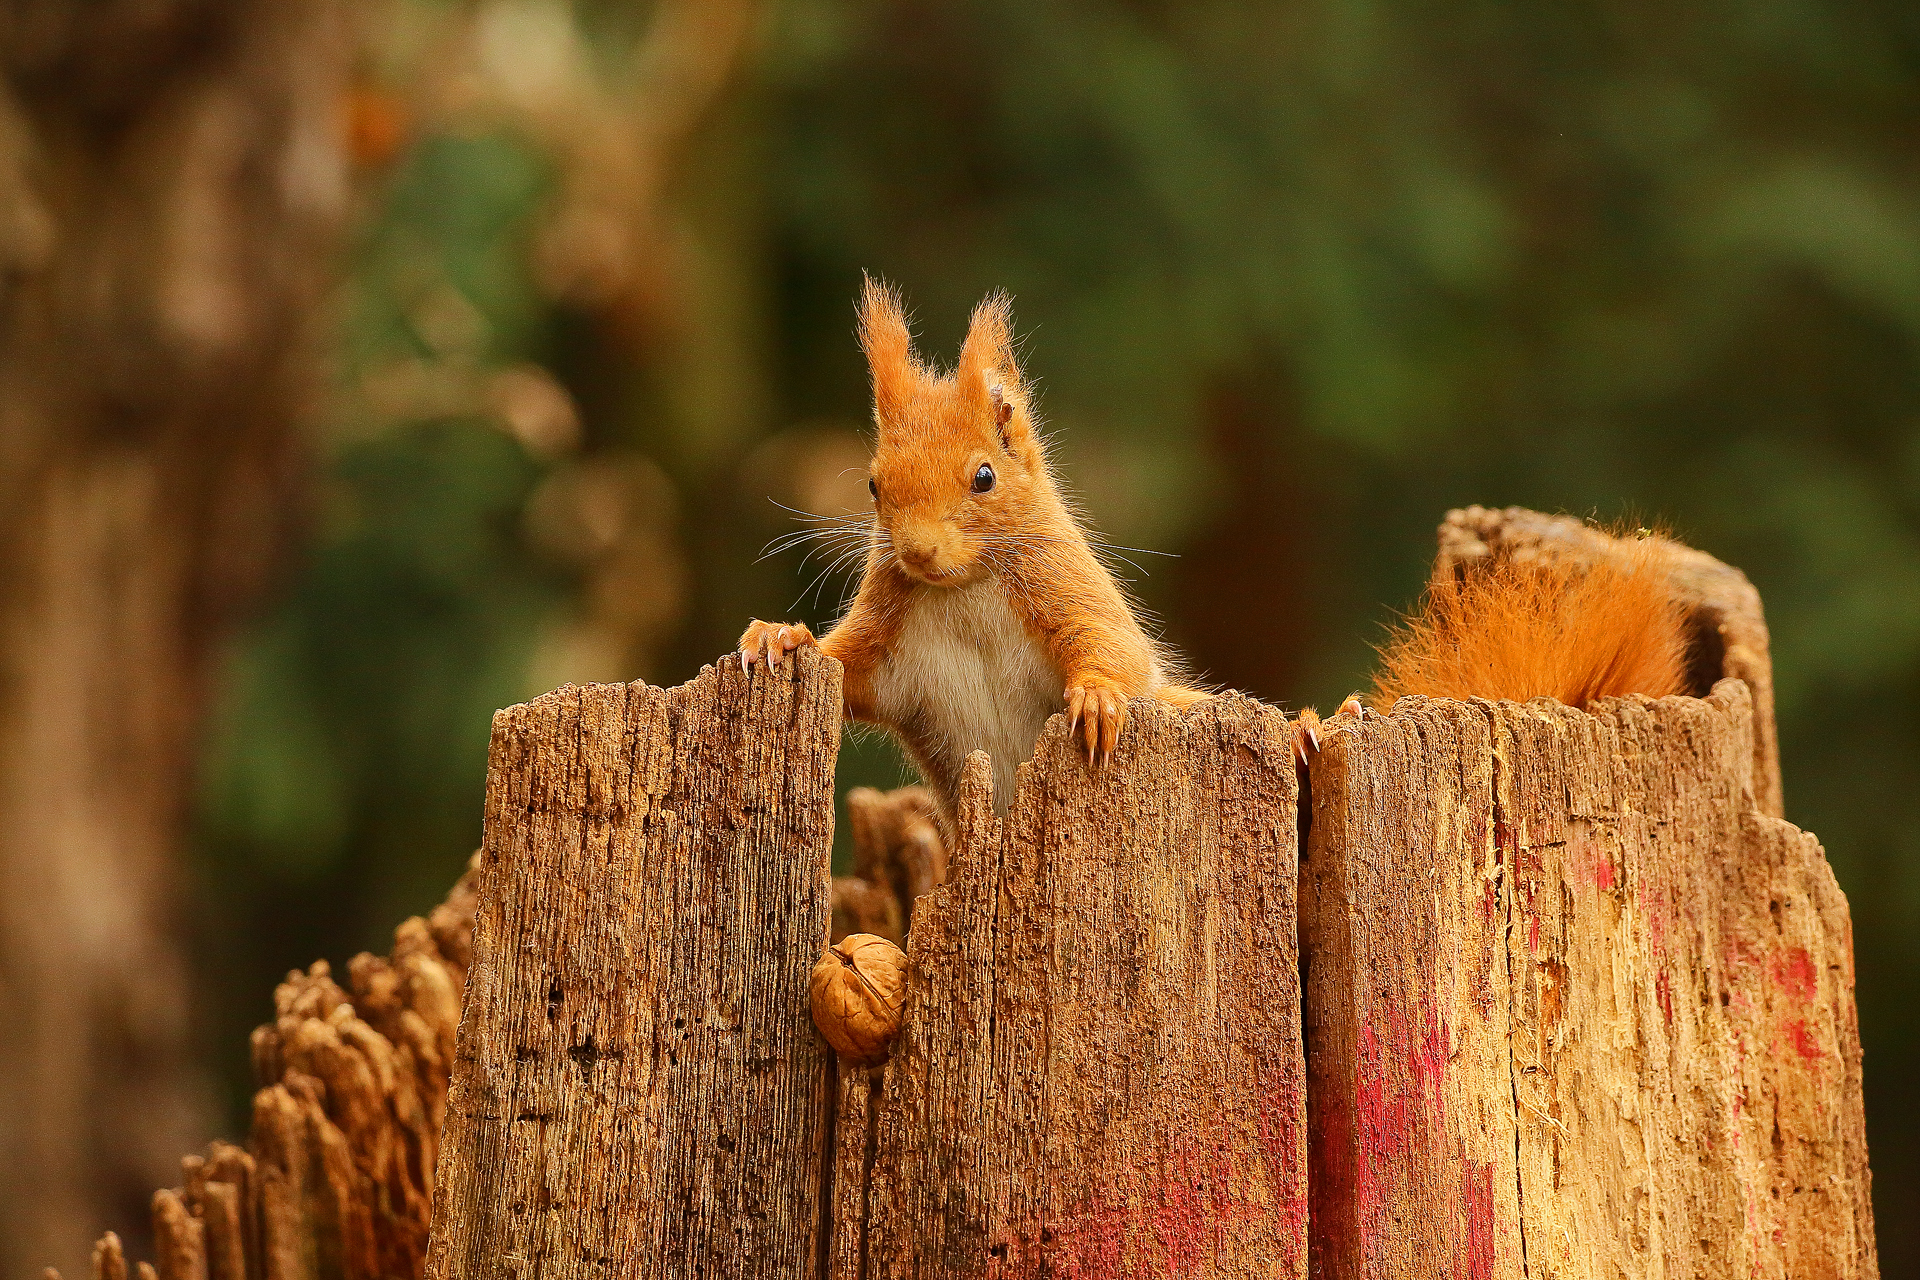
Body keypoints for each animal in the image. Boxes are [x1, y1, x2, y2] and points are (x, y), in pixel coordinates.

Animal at [740, 277, 1207, 824]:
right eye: (874, 485)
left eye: (985, 477)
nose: (917, 552)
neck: (965, 590)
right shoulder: (885, 650)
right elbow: (845, 666)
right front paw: (782, 636)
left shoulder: (1066, 584)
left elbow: (1117, 648)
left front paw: (1095, 698)